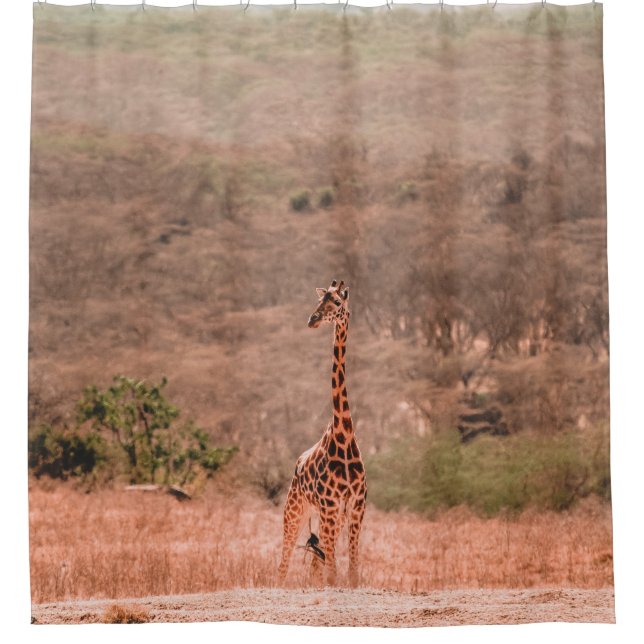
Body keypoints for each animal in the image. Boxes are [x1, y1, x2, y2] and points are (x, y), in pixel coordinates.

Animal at [277, 279, 367, 588]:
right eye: (320, 300)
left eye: (337, 303)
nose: (312, 319)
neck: (344, 435)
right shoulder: (329, 505)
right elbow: (333, 573)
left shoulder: (355, 505)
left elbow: (351, 571)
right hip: (295, 510)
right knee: (284, 561)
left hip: (330, 516)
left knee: (318, 561)